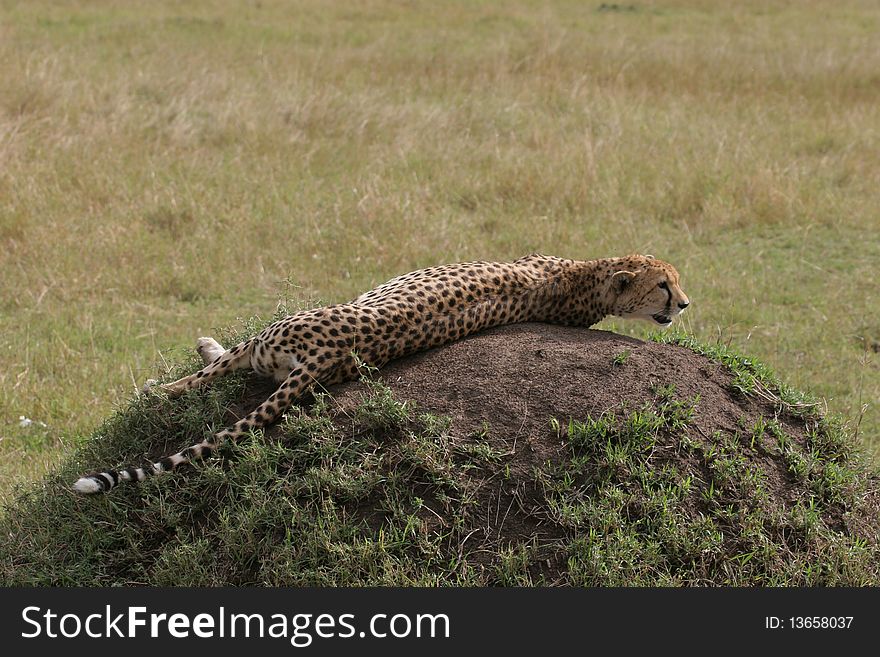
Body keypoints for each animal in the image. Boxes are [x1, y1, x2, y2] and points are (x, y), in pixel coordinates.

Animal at [74, 254, 688, 494]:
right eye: (664, 283)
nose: (685, 304)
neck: (586, 276)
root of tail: (326, 356)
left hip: (270, 339)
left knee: (208, 373)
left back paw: (168, 382)